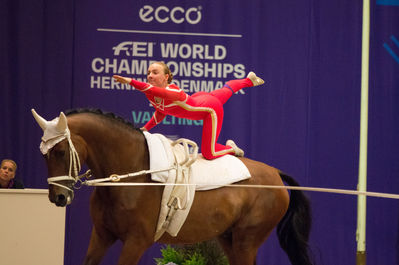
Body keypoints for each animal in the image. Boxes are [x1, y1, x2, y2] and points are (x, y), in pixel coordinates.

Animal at [32, 108, 312, 264]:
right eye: (43, 155)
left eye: (59, 152)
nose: (57, 197)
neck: (129, 175)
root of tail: (275, 174)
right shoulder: (102, 235)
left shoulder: (136, 242)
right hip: (229, 239)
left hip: (247, 240)